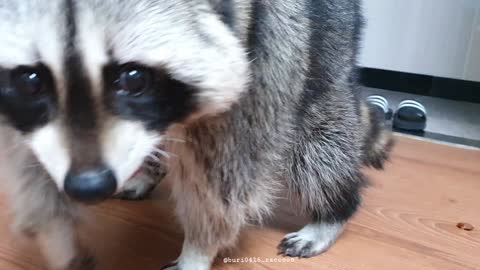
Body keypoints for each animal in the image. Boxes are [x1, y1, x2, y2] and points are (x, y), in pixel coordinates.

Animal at [0, 0, 392, 270]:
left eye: (134, 79)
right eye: (30, 82)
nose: (87, 186)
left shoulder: (252, 57)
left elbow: (221, 182)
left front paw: (197, 250)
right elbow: (29, 166)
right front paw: (57, 236)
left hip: (319, 40)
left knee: (316, 139)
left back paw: (334, 211)